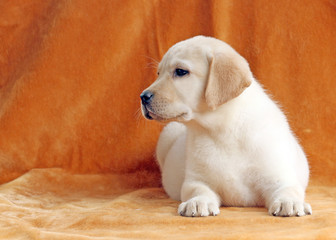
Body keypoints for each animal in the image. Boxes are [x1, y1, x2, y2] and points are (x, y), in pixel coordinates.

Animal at [140, 35, 312, 218]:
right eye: (158, 74)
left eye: (180, 72)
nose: (143, 96)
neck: (222, 130)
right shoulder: (197, 179)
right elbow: (198, 190)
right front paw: (197, 202)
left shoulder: (280, 177)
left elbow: (288, 189)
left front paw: (289, 203)